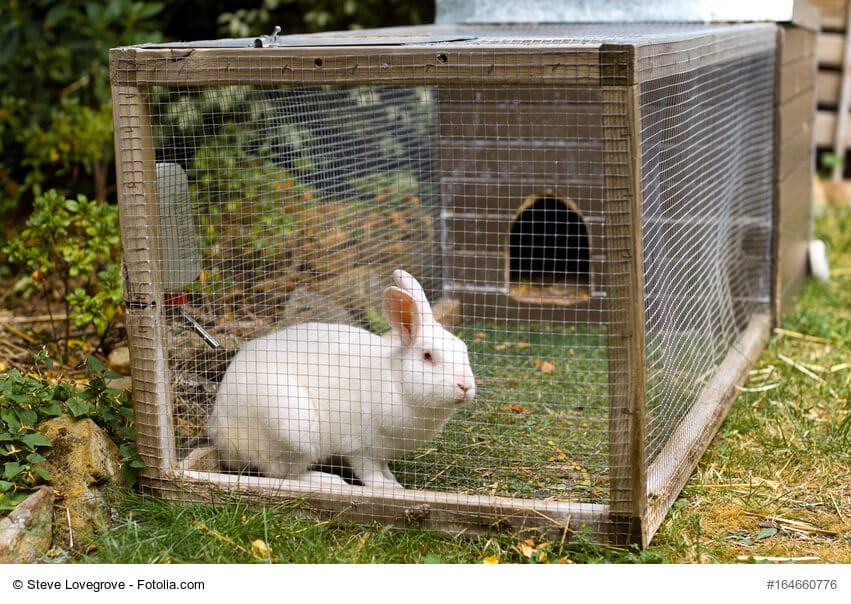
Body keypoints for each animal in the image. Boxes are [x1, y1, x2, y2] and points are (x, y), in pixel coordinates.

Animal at [207, 269, 476, 489]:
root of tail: (221, 432)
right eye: (428, 356)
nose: (465, 386)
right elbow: (369, 472)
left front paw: (393, 481)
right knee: (283, 474)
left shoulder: (382, 451)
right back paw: (329, 480)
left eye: (464, 349)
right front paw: (388, 488)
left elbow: (384, 467)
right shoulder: (360, 447)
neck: (396, 380)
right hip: (293, 428)